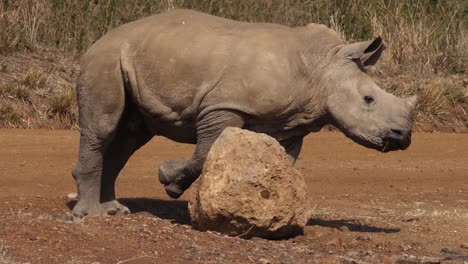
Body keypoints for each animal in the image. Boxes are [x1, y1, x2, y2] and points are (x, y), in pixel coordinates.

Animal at [73, 9, 416, 218]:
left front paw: (272, 207)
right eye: (369, 99)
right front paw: (168, 180)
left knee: (130, 137)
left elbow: (283, 163)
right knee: (103, 129)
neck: (321, 68)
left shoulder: (290, 123)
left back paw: (114, 210)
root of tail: (99, 39)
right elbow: (204, 153)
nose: (404, 137)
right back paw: (90, 215)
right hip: (104, 59)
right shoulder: (223, 106)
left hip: (133, 57)